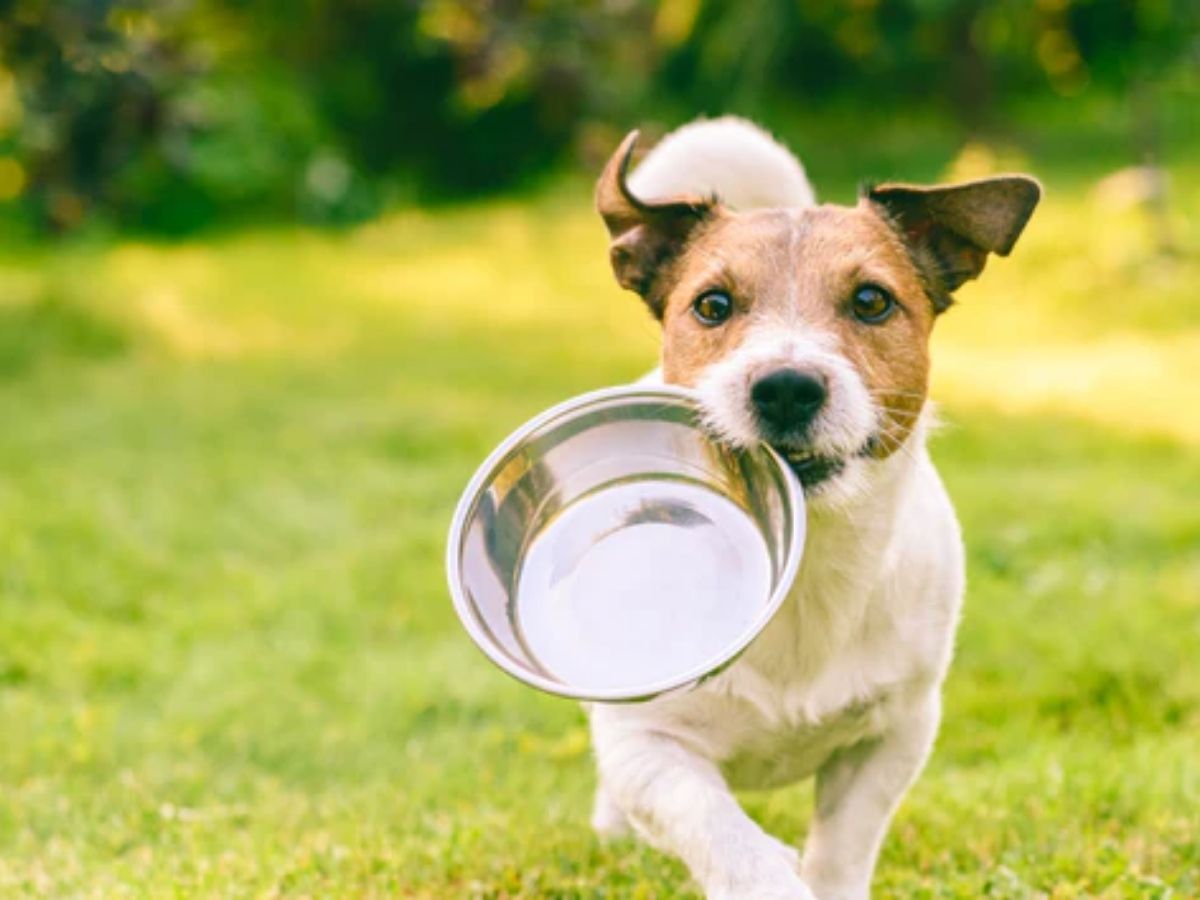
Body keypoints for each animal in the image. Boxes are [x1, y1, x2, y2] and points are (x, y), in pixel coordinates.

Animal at [585, 116, 1036, 897]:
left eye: (871, 301)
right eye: (712, 305)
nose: (787, 387)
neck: (806, 565)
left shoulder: (894, 735)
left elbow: (841, 848)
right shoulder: (648, 747)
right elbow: (719, 829)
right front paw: (765, 874)